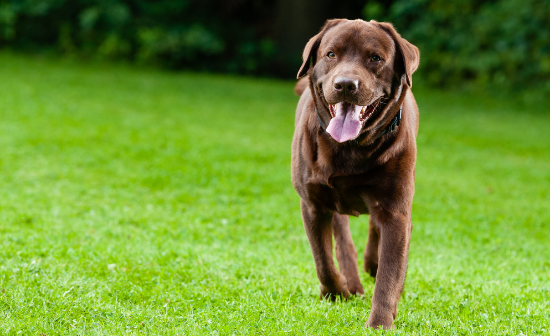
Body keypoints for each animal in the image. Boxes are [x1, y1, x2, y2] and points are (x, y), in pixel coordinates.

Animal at [292, 17, 420, 328]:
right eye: (331, 54)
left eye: (375, 58)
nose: (346, 84)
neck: (349, 148)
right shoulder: (312, 203)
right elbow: (323, 260)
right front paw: (336, 293)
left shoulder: (396, 210)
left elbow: (390, 273)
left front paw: (380, 324)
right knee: (342, 242)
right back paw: (351, 284)